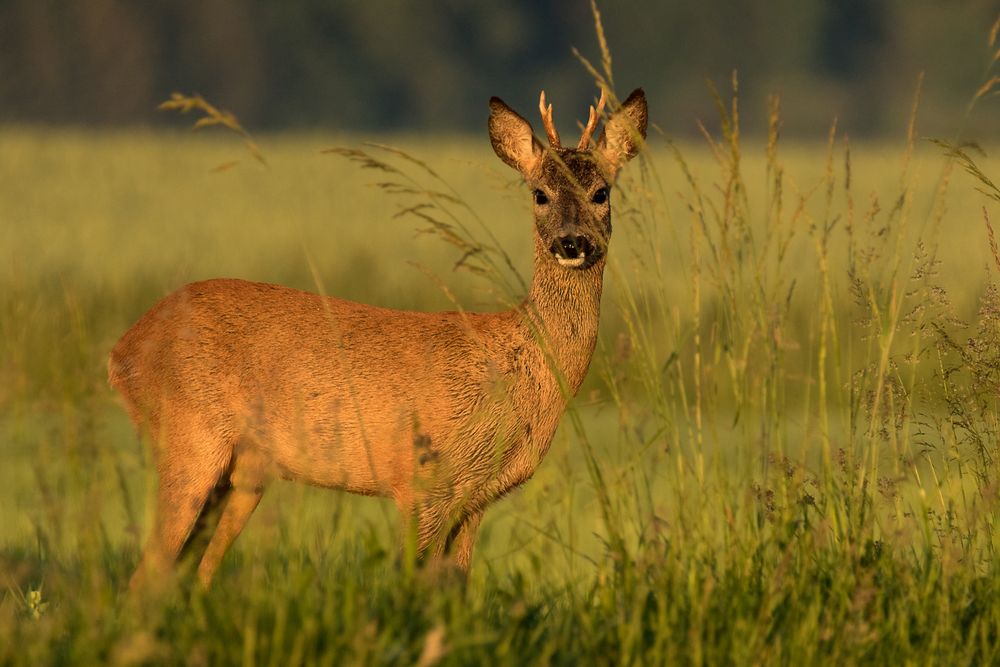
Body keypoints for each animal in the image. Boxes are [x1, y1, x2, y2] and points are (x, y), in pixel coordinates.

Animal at [109, 85, 648, 588]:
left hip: (244, 473)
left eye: (602, 192)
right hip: (187, 436)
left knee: (193, 573)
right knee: (146, 575)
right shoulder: (422, 481)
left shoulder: (474, 500)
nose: (571, 243)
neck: (519, 369)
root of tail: (120, 351)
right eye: (539, 193)